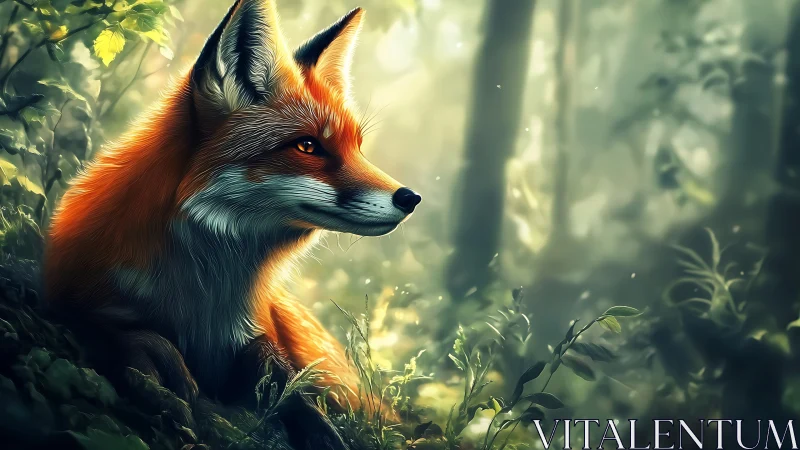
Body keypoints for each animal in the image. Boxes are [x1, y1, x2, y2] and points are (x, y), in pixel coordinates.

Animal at [43, 0, 420, 447]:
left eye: (357, 148)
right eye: (308, 146)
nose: (410, 198)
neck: (204, 297)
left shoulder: (256, 334)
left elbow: (286, 383)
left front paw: (319, 428)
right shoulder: (70, 295)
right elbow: (121, 331)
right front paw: (163, 378)